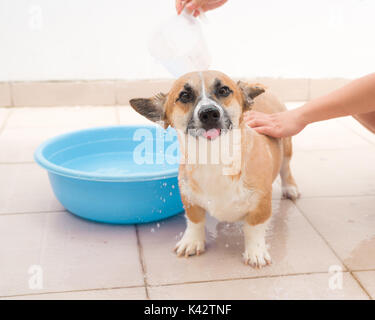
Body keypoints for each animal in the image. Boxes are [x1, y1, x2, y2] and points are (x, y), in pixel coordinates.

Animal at [131, 70, 302, 268]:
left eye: (223, 90)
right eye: (185, 95)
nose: (209, 113)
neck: (214, 157)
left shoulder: (261, 204)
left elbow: (254, 229)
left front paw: (255, 252)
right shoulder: (190, 200)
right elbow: (195, 221)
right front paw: (192, 241)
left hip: (286, 145)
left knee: (286, 168)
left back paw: (290, 188)